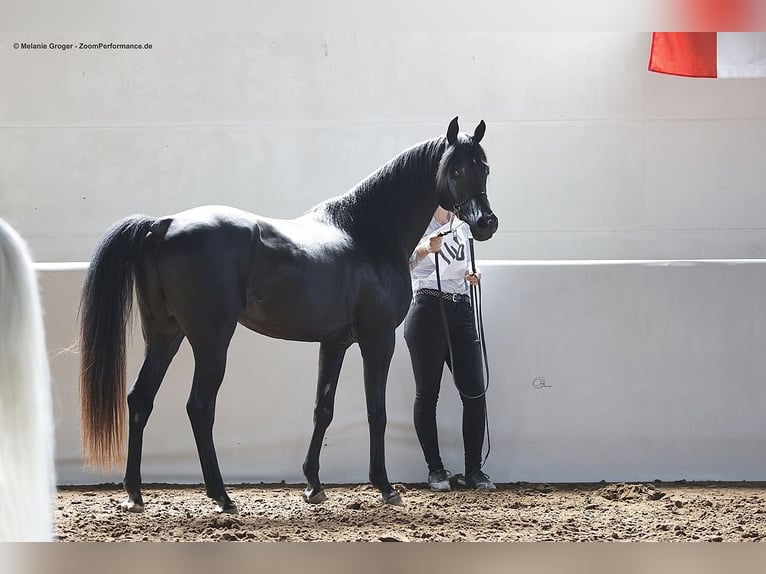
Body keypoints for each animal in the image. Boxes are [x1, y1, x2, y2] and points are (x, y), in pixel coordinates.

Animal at [78, 117, 498, 512]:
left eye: (485, 167)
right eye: (454, 170)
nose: (485, 223)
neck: (366, 233)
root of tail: (163, 225)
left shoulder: (335, 342)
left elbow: (323, 410)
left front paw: (313, 485)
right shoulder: (378, 340)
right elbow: (375, 411)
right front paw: (384, 486)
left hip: (165, 335)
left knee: (140, 400)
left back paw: (135, 494)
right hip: (211, 342)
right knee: (199, 407)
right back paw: (221, 496)